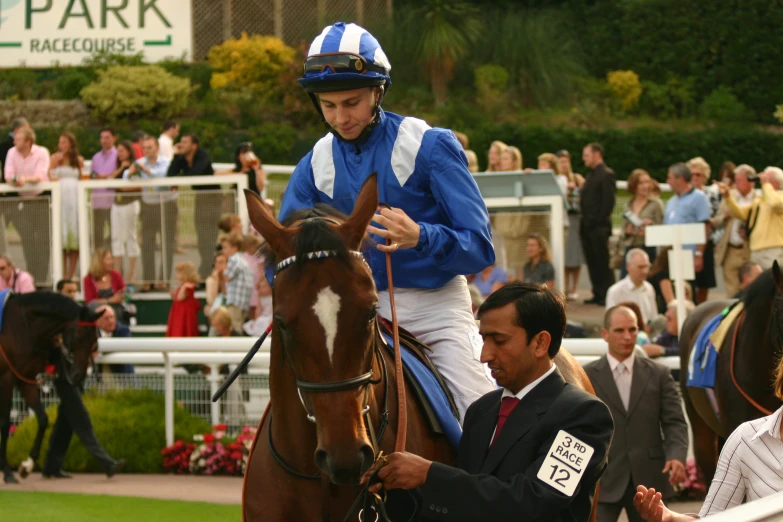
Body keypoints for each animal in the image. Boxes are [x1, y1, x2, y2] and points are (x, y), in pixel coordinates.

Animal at [0, 290, 104, 482]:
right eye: (78, 337)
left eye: (94, 340)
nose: (78, 375)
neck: (20, 326)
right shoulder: (6, 379)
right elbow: (4, 422)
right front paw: (7, 471)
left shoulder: (25, 379)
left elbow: (43, 419)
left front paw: (27, 465)